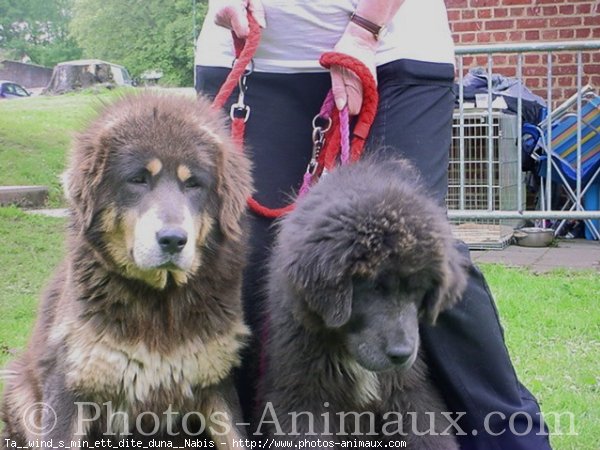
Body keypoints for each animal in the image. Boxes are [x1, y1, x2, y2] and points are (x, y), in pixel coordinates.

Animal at [0, 93, 253, 448]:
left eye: (194, 184)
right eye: (138, 179)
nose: (173, 240)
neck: (160, 303)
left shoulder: (216, 380)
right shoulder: (70, 385)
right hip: (20, 387)